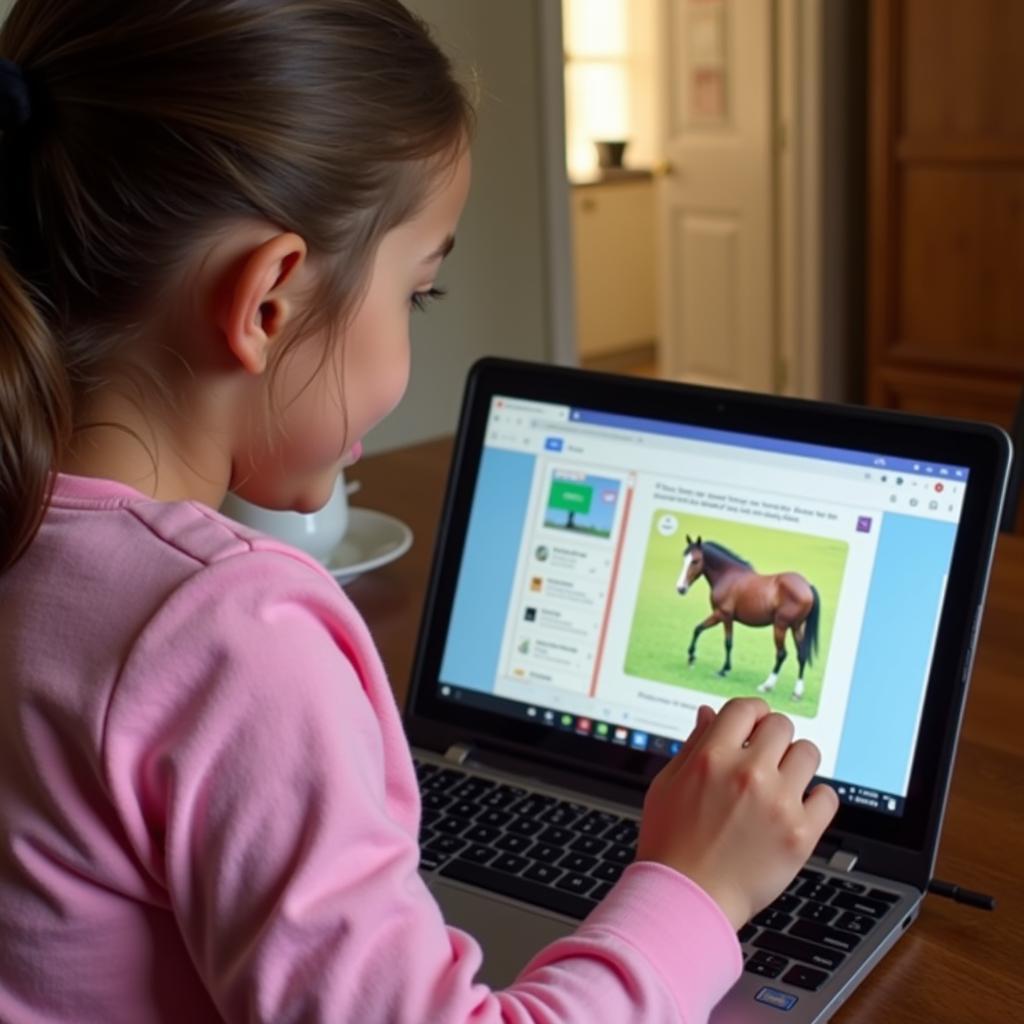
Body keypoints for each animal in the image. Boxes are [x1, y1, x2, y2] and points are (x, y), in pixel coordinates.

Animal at [675, 536, 819, 696]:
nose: (680, 588)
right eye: (684, 559)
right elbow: (698, 629)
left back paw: (766, 686)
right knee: (802, 655)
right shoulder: (719, 616)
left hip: (780, 626)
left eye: (695, 561)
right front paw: (691, 657)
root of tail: (807, 586)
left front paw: (723, 670)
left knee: (781, 654)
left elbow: (728, 643)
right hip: (796, 628)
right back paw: (797, 692)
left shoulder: (724, 615)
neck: (728, 575)